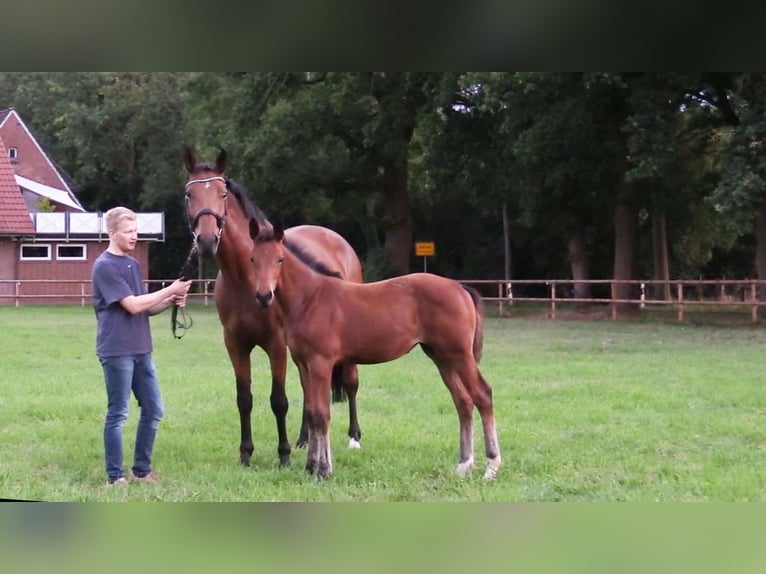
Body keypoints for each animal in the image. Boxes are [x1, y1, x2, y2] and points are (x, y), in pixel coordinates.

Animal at [183, 148, 364, 468]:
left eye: (222, 194)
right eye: (190, 194)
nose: (205, 241)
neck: (245, 277)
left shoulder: (275, 343)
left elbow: (278, 400)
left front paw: (284, 455)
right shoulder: (235, 343)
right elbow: (244, 398)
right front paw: (246, 453)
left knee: (351, 383)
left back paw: (354, 437)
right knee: (307, 386)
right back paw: (305, 438)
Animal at [247, 218, 502, 481]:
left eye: (280, 259)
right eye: (252, 259)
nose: (264, 296)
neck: (310, 299)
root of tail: (460, 288)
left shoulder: (321, 363)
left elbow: (322, 414)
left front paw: (324, 471)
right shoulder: (303, 364)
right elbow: (311, 413)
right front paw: (311, 467)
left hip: (460, 355)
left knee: (482, 395)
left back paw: (491, 467)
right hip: (442, 357)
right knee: (463, 401)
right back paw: (464, 464)